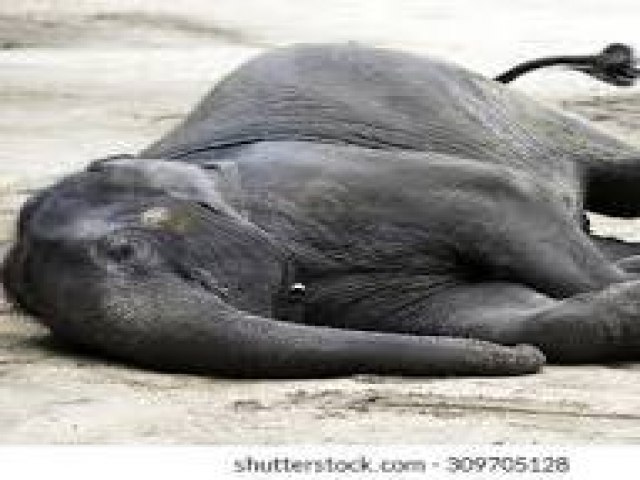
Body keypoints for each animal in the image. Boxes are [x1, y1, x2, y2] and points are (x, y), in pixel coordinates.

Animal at [5, 43, 640, 378]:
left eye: (126, 250)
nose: (523, 363)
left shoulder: (325, 183)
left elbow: (505, 200)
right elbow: (484, 309)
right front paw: (616, 303)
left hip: (502, 107)